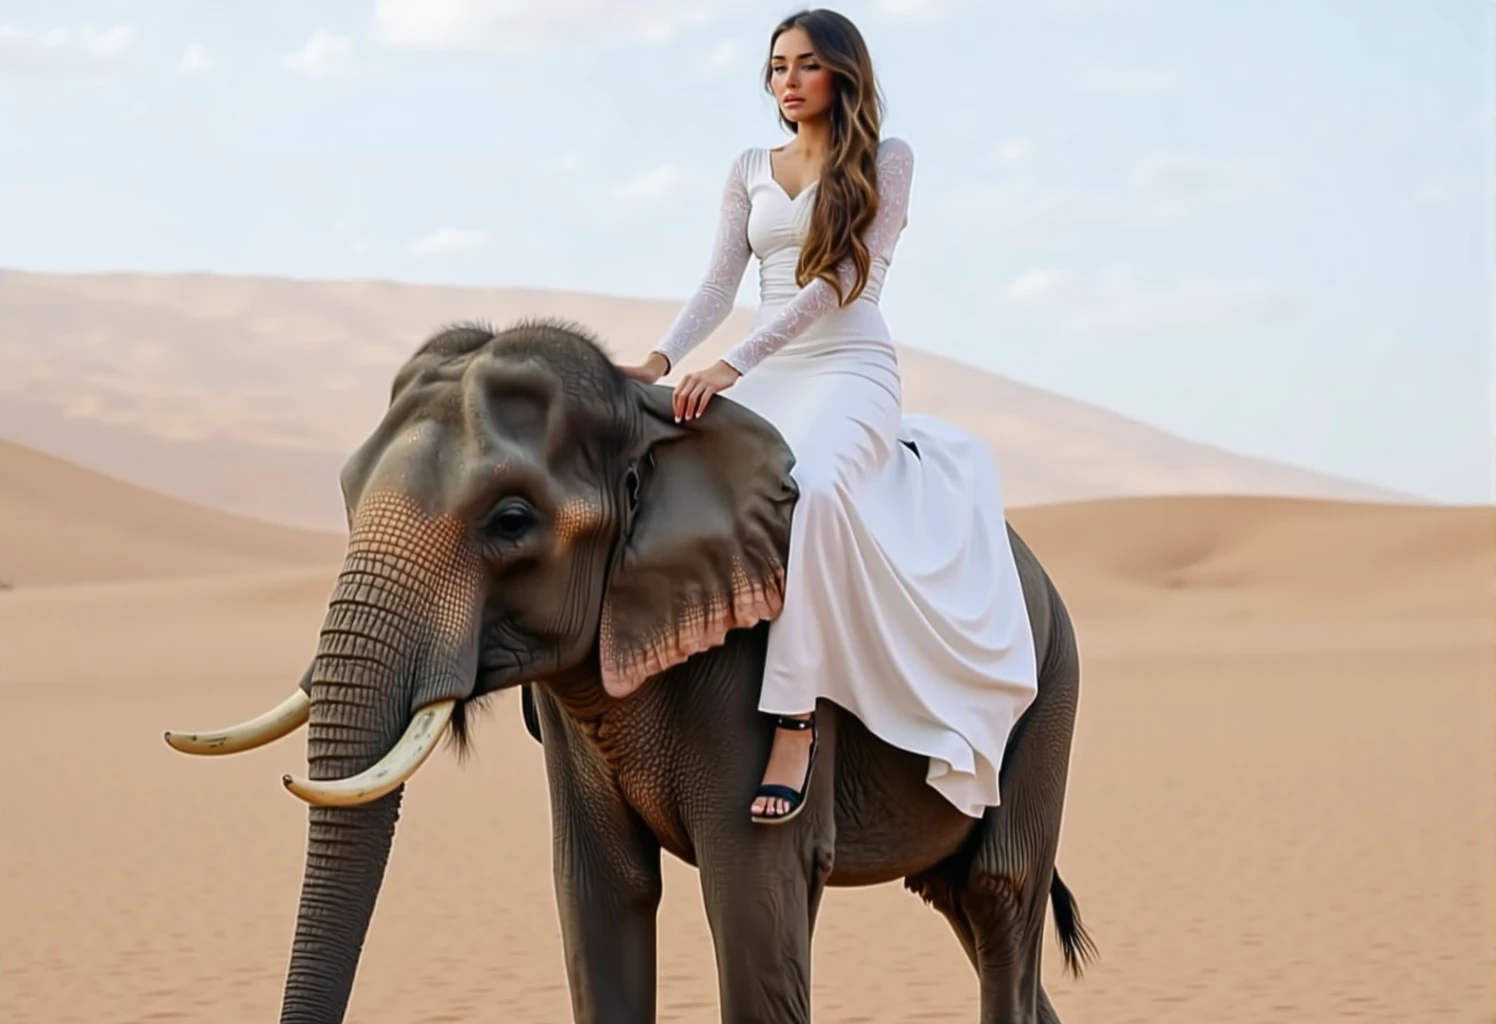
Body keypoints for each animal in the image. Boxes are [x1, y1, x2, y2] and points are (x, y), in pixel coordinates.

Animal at [166, 321, 1101, 1024]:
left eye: (512, 520)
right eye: (345, 493)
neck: (653, 425)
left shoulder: (749, 665)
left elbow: (755, 904)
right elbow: (598, 897)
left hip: (1049, 690)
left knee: (997, 895)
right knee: (961, 904)